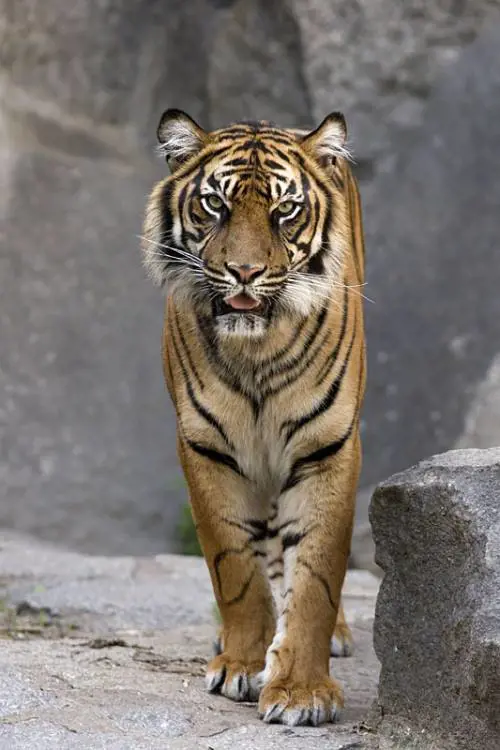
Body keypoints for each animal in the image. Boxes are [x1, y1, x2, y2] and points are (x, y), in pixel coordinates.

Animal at [142, 108, 366, 727]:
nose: (244, 271)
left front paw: (301, 691)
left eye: (284, 210)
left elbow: (316, 573)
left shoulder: (327, 446)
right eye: (215, 204)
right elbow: (235, 565)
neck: (256, 351)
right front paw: (244, 662)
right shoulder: (205, 446)